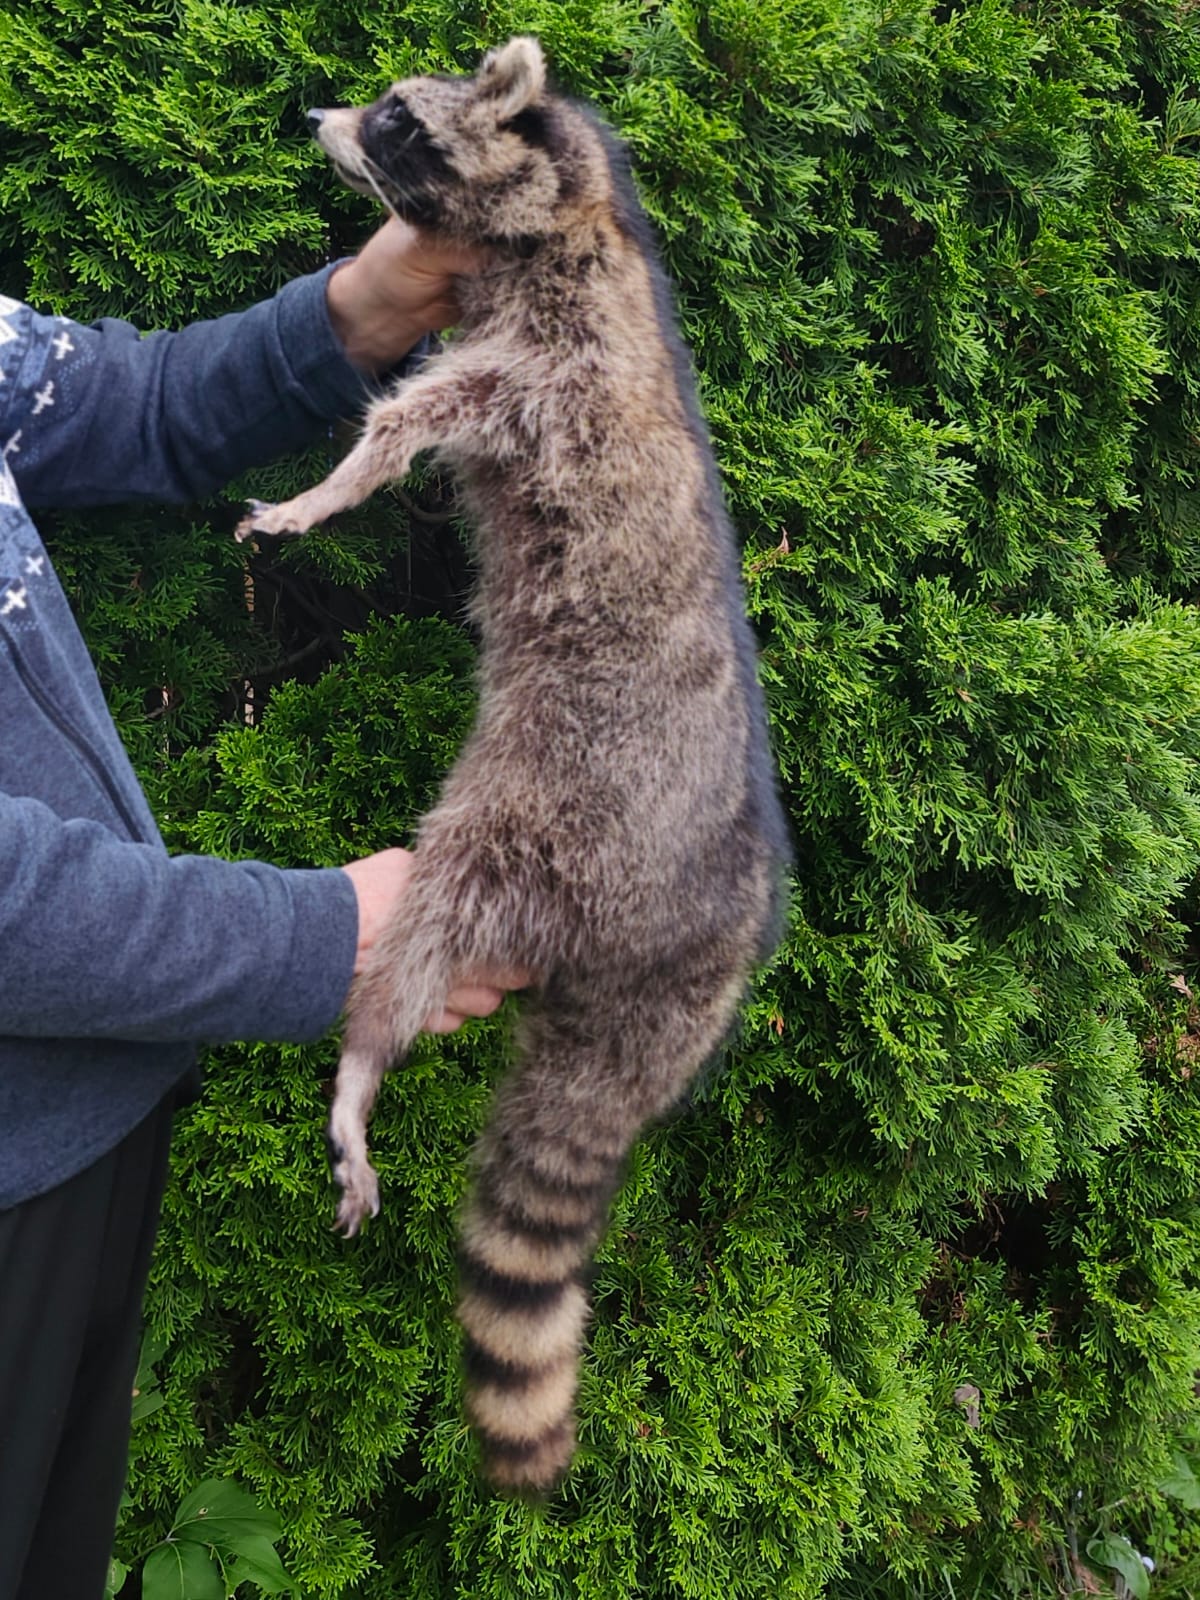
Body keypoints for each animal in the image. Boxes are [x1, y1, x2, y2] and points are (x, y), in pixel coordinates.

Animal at [237, 37, 790, 1491]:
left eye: (393, 121)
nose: (312, 113)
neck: (574, 208)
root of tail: (714, 920)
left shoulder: (543, 371)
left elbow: (411, 417)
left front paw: (324, 491)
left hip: (535, 821)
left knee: (430, 912)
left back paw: (361, 1069)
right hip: (639, 1010)